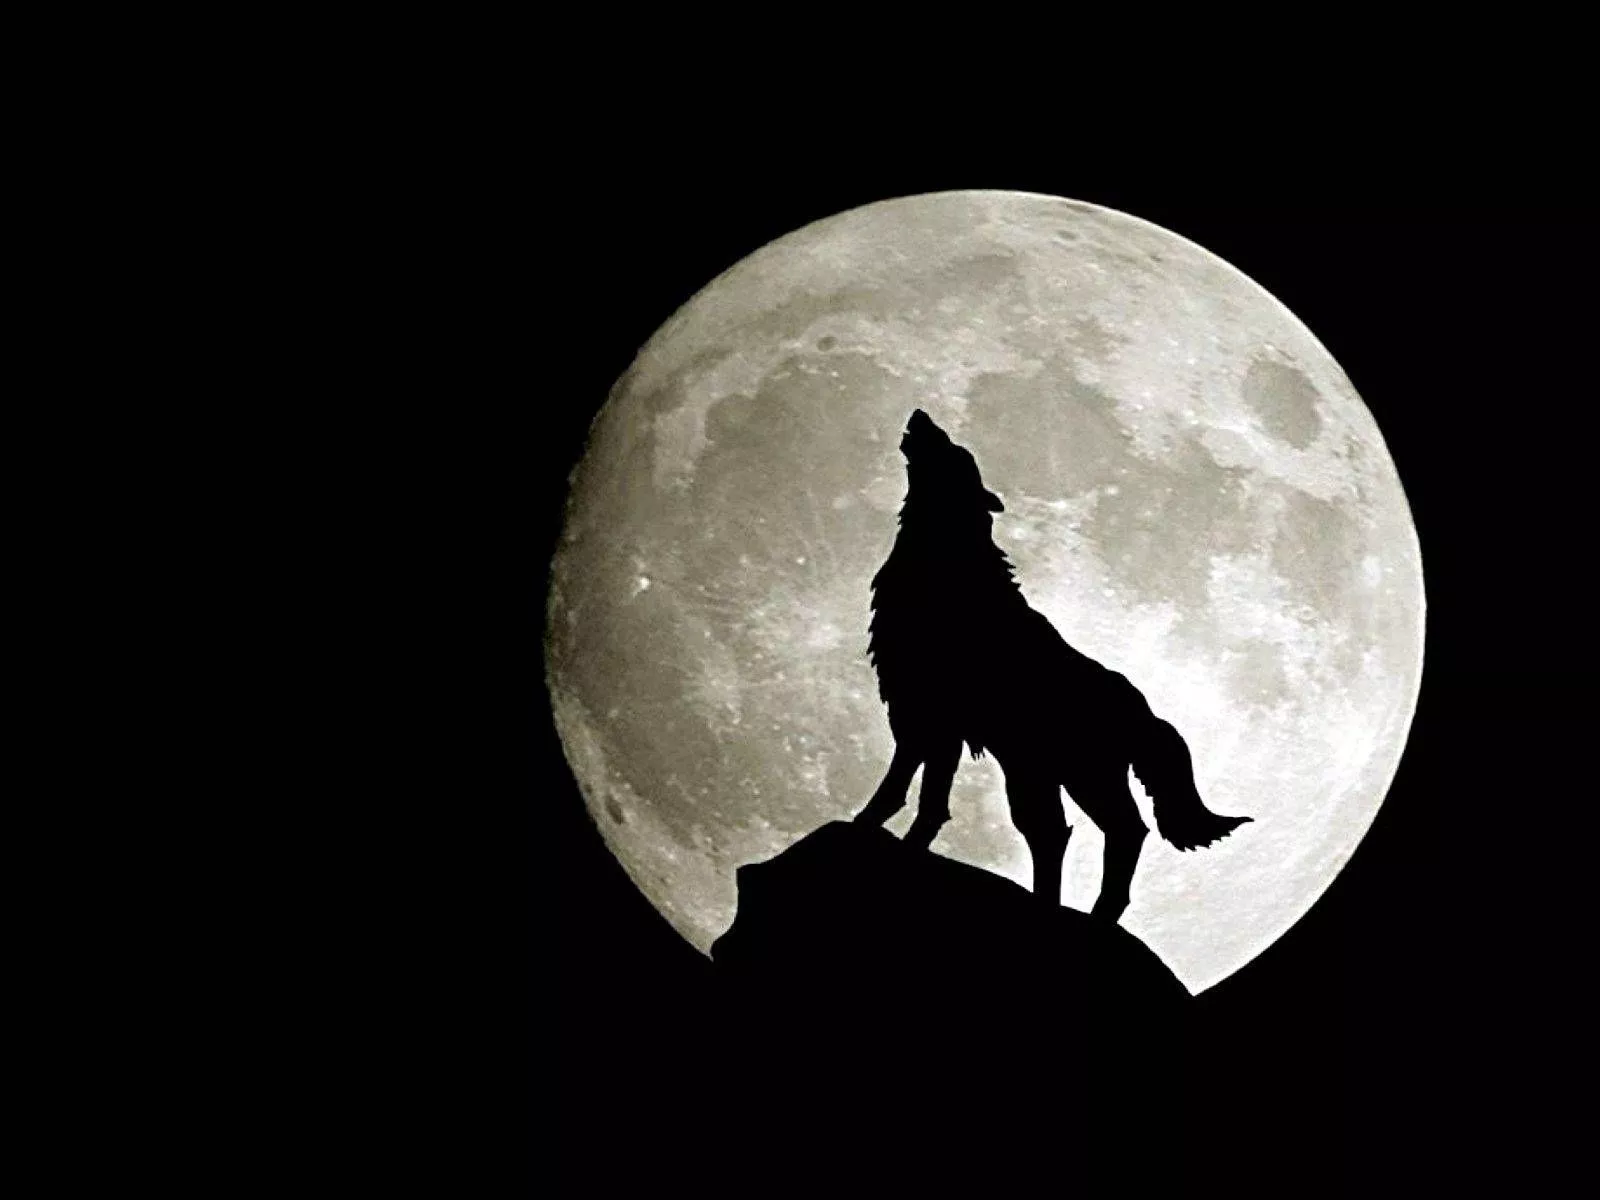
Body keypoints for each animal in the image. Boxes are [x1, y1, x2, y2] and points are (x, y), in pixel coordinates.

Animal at [853, 409, 1251, 922]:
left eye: (956, 451)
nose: (922, 415)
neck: (947, 563)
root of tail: (1144, 709)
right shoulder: (927, 719)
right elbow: (922, 794)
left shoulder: (931, 715)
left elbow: (909, 791)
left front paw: (871, 830)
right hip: (1037, 773)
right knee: (1055, 833)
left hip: (1077, 775)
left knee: (1120, 831)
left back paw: (1095, 914)